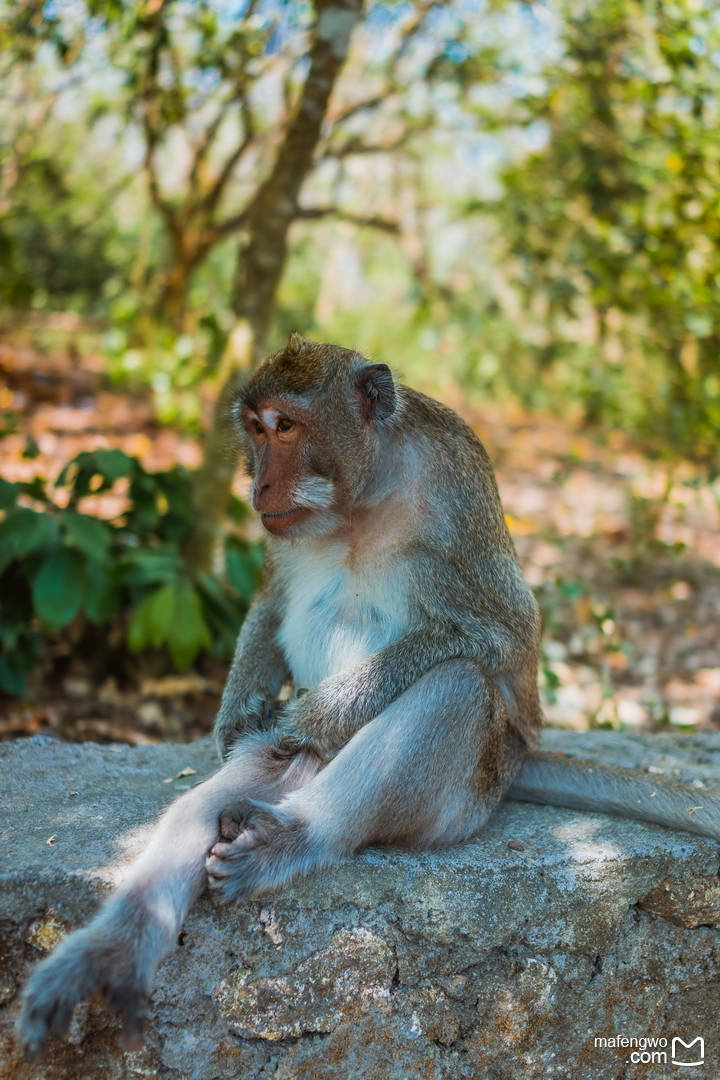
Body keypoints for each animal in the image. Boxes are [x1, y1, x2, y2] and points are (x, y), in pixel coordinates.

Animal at [15, 332, 720, 1058]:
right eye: (255, 429)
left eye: (287, 427)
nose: (257, 484)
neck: (361, 499)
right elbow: (271, 604)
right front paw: (237, 712)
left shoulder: (457, 490)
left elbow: (504, 636)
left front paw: (320, 710)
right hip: (282, 770)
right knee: (209, 803)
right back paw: (113, 949)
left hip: (471, 791)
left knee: (457, 686)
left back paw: (291, 838)